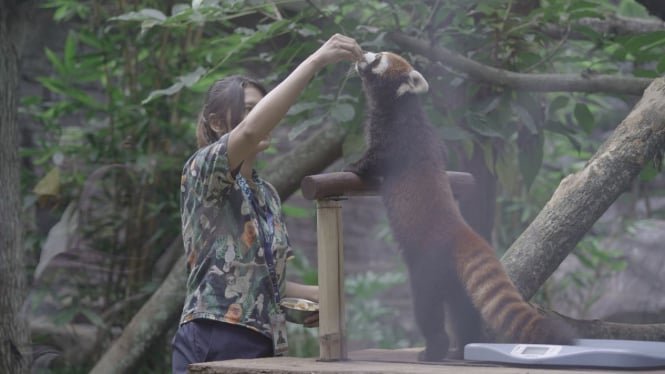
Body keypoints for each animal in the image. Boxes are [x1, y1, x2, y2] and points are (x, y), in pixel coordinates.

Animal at [344, 51, 572, 360]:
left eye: (378, 59)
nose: (363, 53)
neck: (402, 106)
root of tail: (460, 232)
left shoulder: (396, 138)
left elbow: (374, 161)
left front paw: (352, 166)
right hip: (458, 282)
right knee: (465, 312)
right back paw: (463, 346)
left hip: (428, 268)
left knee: (427, 308)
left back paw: (434, 349)